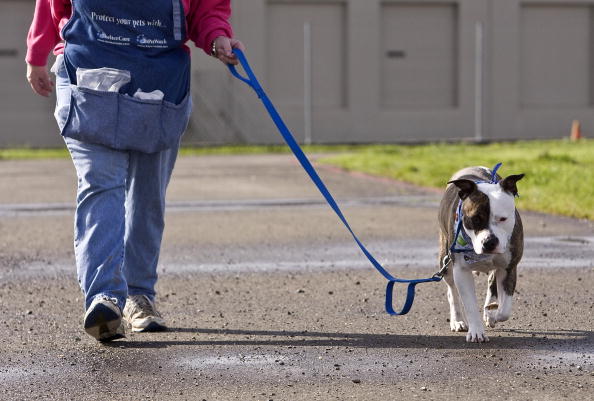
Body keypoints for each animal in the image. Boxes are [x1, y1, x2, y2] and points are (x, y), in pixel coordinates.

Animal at [434, 165, 524, 340]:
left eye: (503, 219)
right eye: (475, 219)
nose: (489, 242)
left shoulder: (509, 267)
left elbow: (505, 309)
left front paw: (493, 313)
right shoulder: (461, 271)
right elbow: (469, 304)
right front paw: (476, 332)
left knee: (492, 284)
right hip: (445, 262)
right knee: (452, 292)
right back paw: (457, 321)